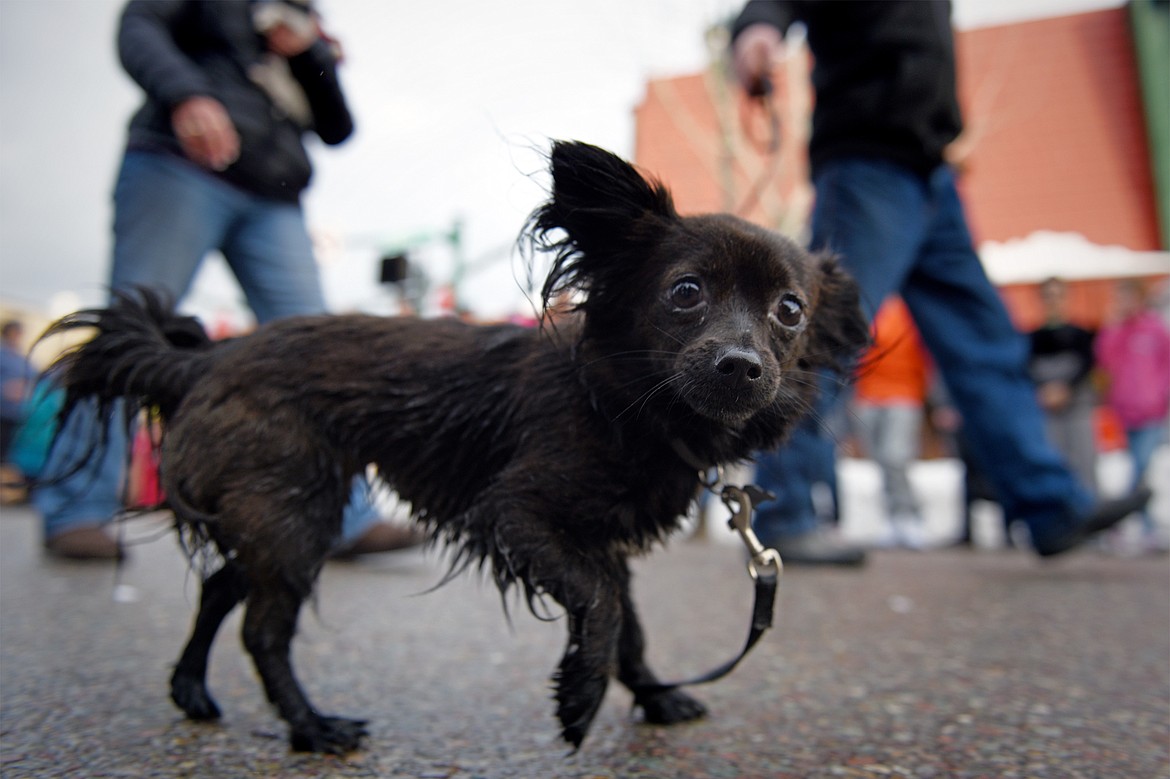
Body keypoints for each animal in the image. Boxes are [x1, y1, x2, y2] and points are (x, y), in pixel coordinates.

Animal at [45, 140, 870, 753]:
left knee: (220, 588)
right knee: (262, 629)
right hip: (294, 515)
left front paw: (653, 692)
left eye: (790, 310)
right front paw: (581, 699)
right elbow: (601, 606)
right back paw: (311, 726)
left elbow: (629, 625)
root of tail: (208, 358)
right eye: (686, 292)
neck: (624, 405)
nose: (742, 365)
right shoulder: (520, 514)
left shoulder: (601, 540)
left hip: (277, 516)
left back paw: (191, 689)